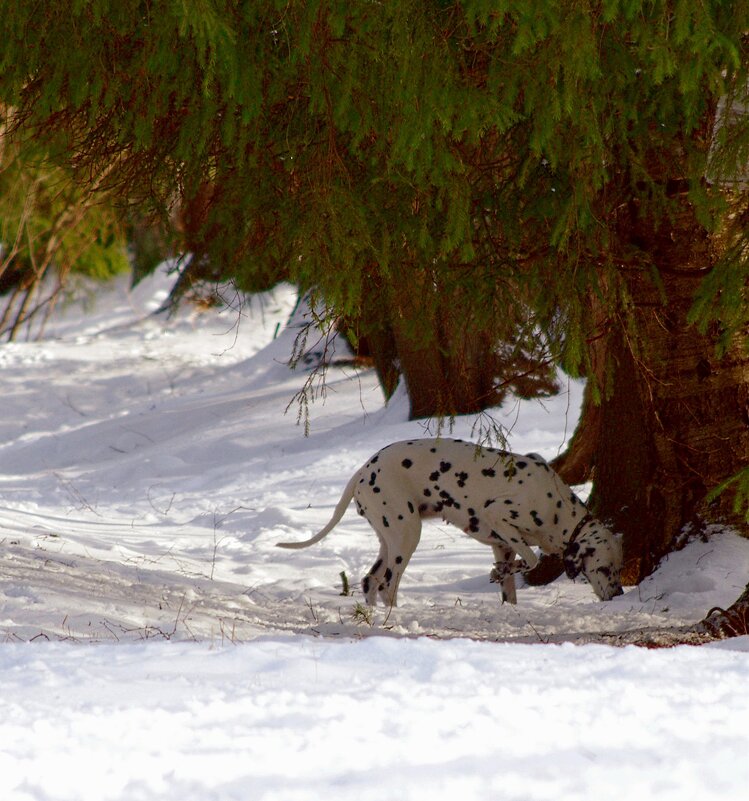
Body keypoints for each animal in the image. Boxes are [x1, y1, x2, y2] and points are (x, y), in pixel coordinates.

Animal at [278, 440, 624, 604]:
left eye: (618, 569)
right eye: (605, 569)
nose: (620, 593)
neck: (557, 506)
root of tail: (363, 470)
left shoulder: (503, 546)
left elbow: (511, 585)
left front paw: (502, 576)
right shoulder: (498, 516)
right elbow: (531, 558)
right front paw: (500, 572)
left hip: (389, 539)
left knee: (369, 581)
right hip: (407, 536)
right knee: (388, 585)